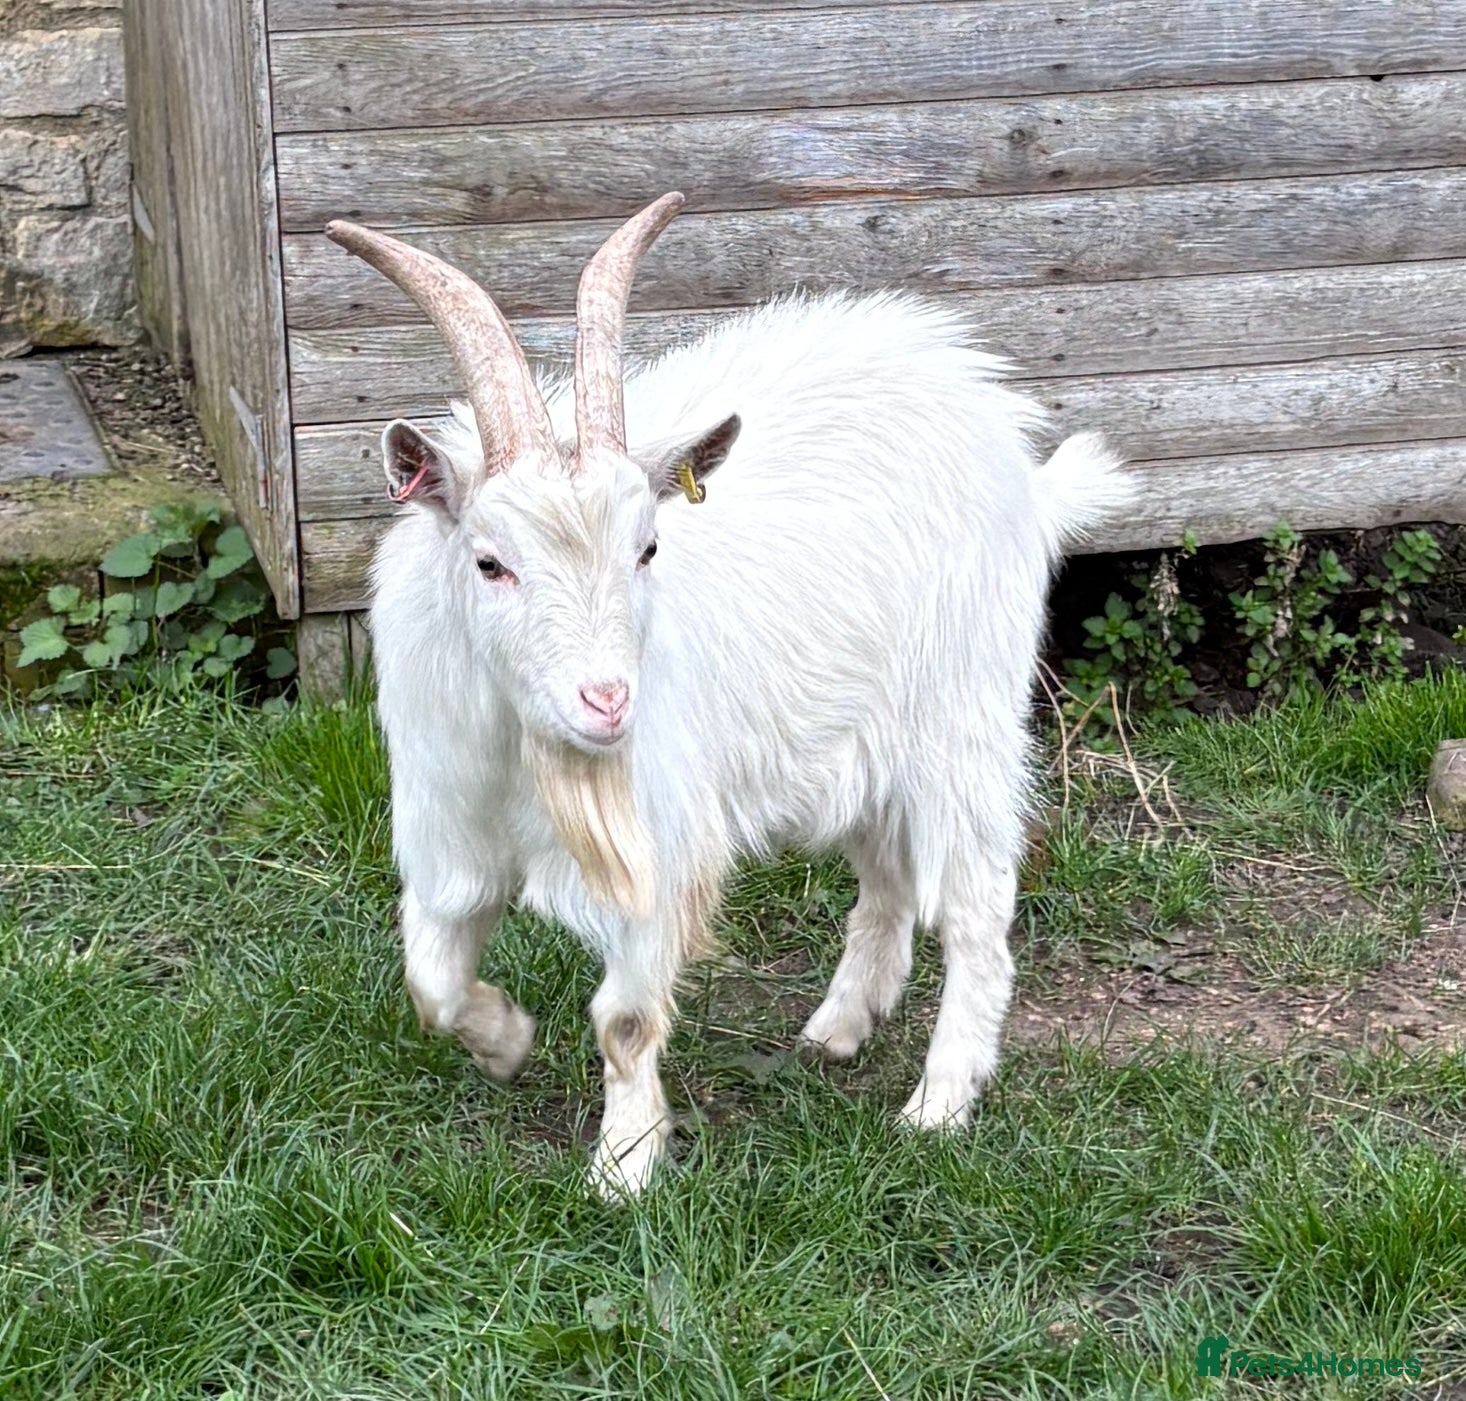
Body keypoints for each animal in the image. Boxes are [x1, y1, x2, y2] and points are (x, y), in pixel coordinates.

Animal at [325, 194, 1134, 1196]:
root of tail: (1009, 441)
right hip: (856, 744)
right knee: (888, 878)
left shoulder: (658, 848)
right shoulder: (446, 838)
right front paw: (507, 1041)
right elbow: (430, 985)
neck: (533, 761)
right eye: (490, 562)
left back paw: (940, 1103)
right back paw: (839, 1028)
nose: (608, 702)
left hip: (964, 719)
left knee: (978, 901)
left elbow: (624, 1017)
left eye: (647, 547)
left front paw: (624, 1166)